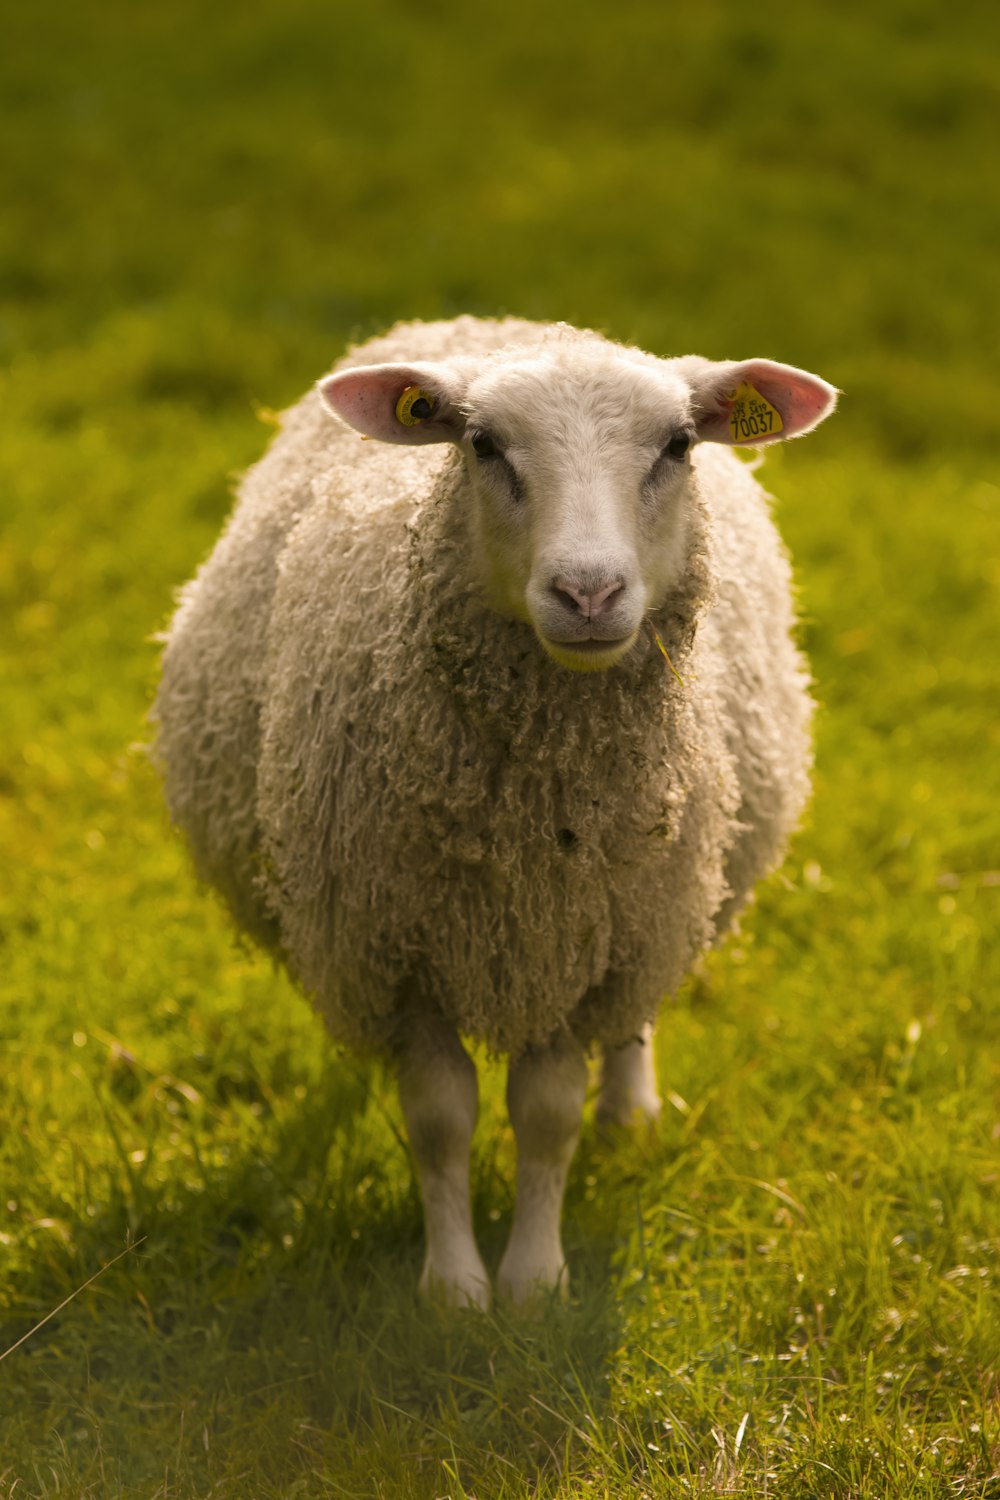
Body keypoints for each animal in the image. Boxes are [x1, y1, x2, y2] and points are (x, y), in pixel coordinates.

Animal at [154, 313, 839, 1302]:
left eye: (678, 445)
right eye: (481, 445)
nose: (588, 593)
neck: (528, 825)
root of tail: (509, 322)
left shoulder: (578, 945)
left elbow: (547, 1115)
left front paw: (533, 1281)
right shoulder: (398, 950)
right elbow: (440, 1119)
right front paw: (454, 1288)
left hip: (657, 910)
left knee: (631, 1023)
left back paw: (630, 1111)